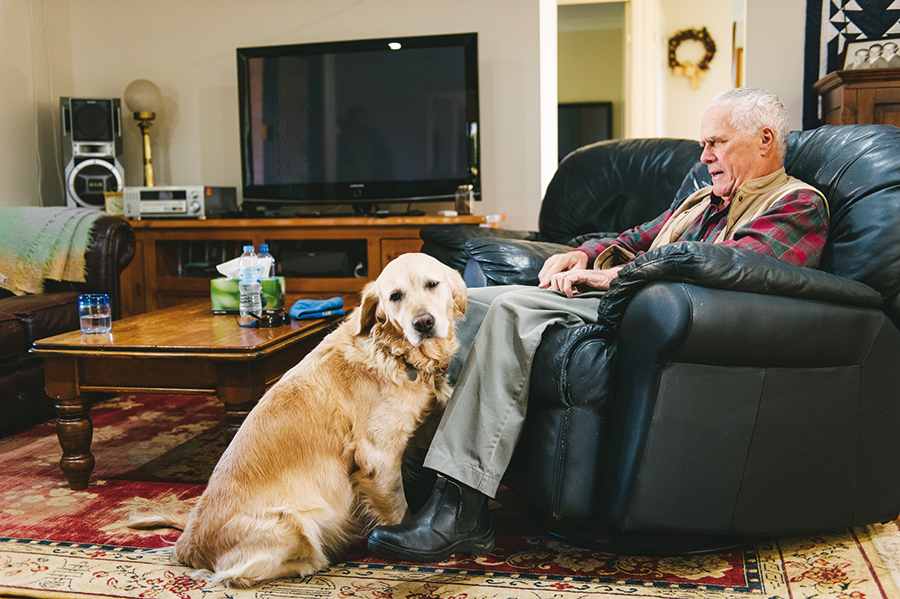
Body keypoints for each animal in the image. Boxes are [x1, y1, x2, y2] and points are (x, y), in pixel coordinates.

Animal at [130, 253, 468, 592]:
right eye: (395, 296)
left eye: (432, 284)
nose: (423, 323)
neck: (396, 353)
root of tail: (187, 543)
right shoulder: (379, 457)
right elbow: (399, 510)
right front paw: (404, 541)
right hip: (295, 523)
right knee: (235, 574)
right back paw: (313, 562)